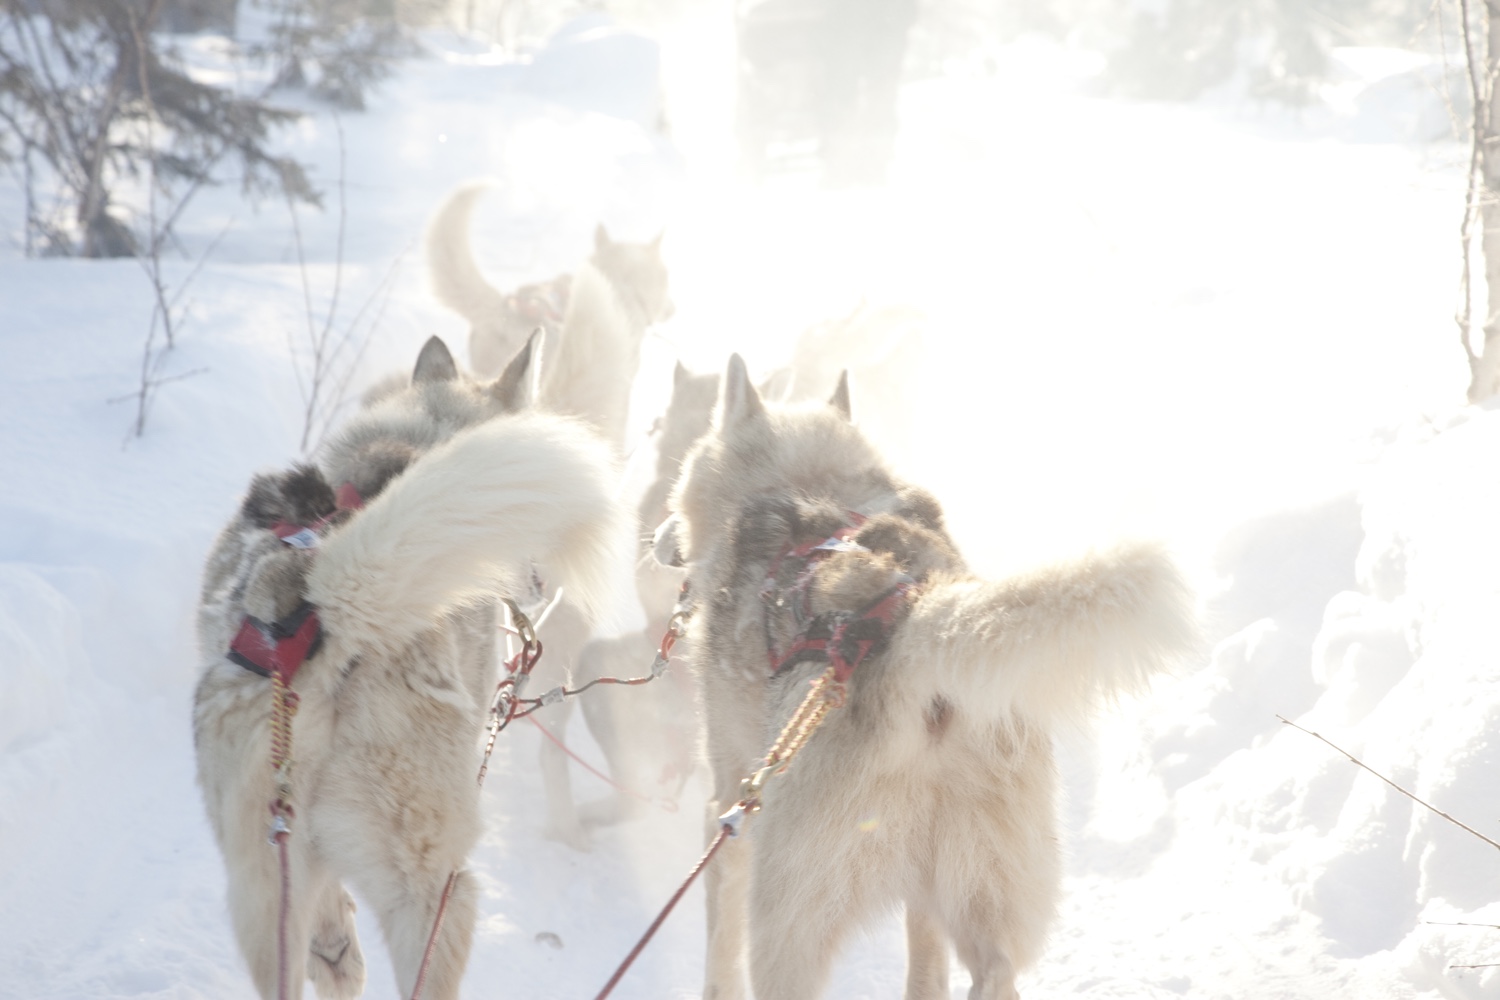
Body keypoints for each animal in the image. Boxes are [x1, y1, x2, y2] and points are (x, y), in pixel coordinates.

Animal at [657, 358, 1194, 1000]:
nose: (658, 538)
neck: (816, 487)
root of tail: (916, 624)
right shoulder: (927, 902)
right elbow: (928, 971)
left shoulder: (729, 809)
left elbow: (718, 956)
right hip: (979, 892)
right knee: (991, 975)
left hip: (789, 925)